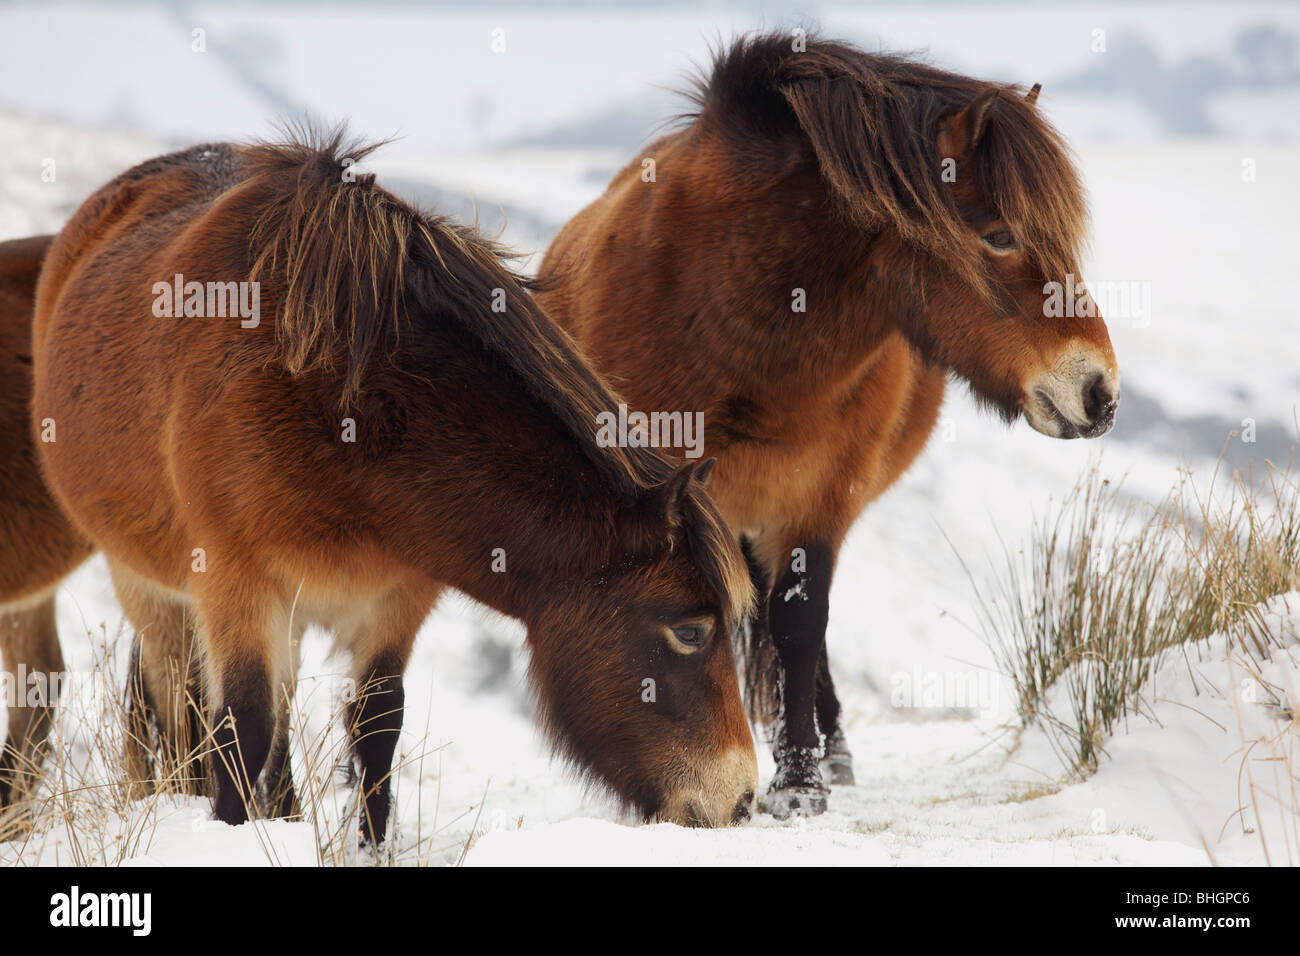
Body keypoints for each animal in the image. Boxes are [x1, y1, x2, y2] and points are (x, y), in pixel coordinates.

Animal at [30, 128, 759, 837]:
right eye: (690, 631)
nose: (744, 798)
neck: (344, 413)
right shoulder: (237, 587)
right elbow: (241, 732)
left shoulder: (397, 598)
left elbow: (376, 728)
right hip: (150, 590)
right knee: (185, 702)